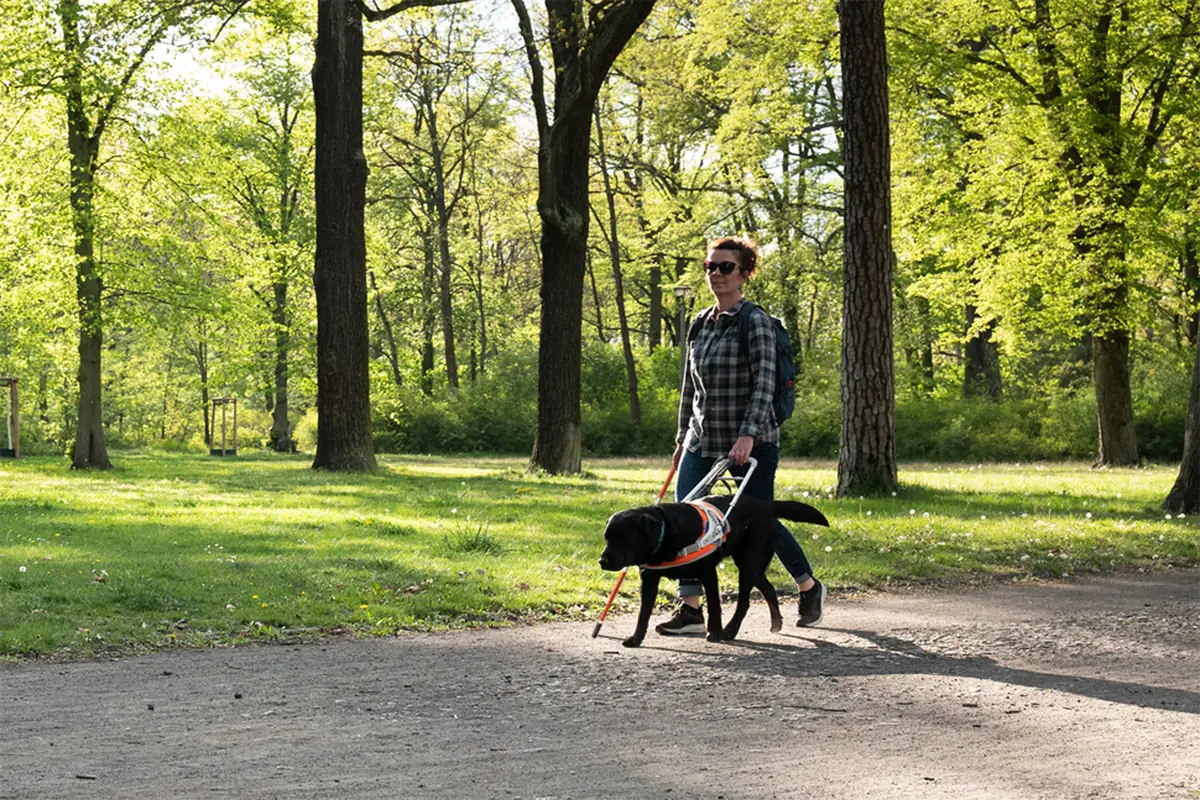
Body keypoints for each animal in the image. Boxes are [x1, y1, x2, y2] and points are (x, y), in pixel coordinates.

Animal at [597, 496, 830, 647]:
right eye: (606, 539)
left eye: (622, 540)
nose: (601, 561)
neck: (667, 532)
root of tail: (765, 504)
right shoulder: (649, 580)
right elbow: (643, 613)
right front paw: (636, 638)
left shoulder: (708, 574)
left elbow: (715, 606)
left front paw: (715, 632)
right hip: (749, 565)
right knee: (768, 587)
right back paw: (776, 622)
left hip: (749, 564)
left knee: (744, 602)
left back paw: (730, 630)